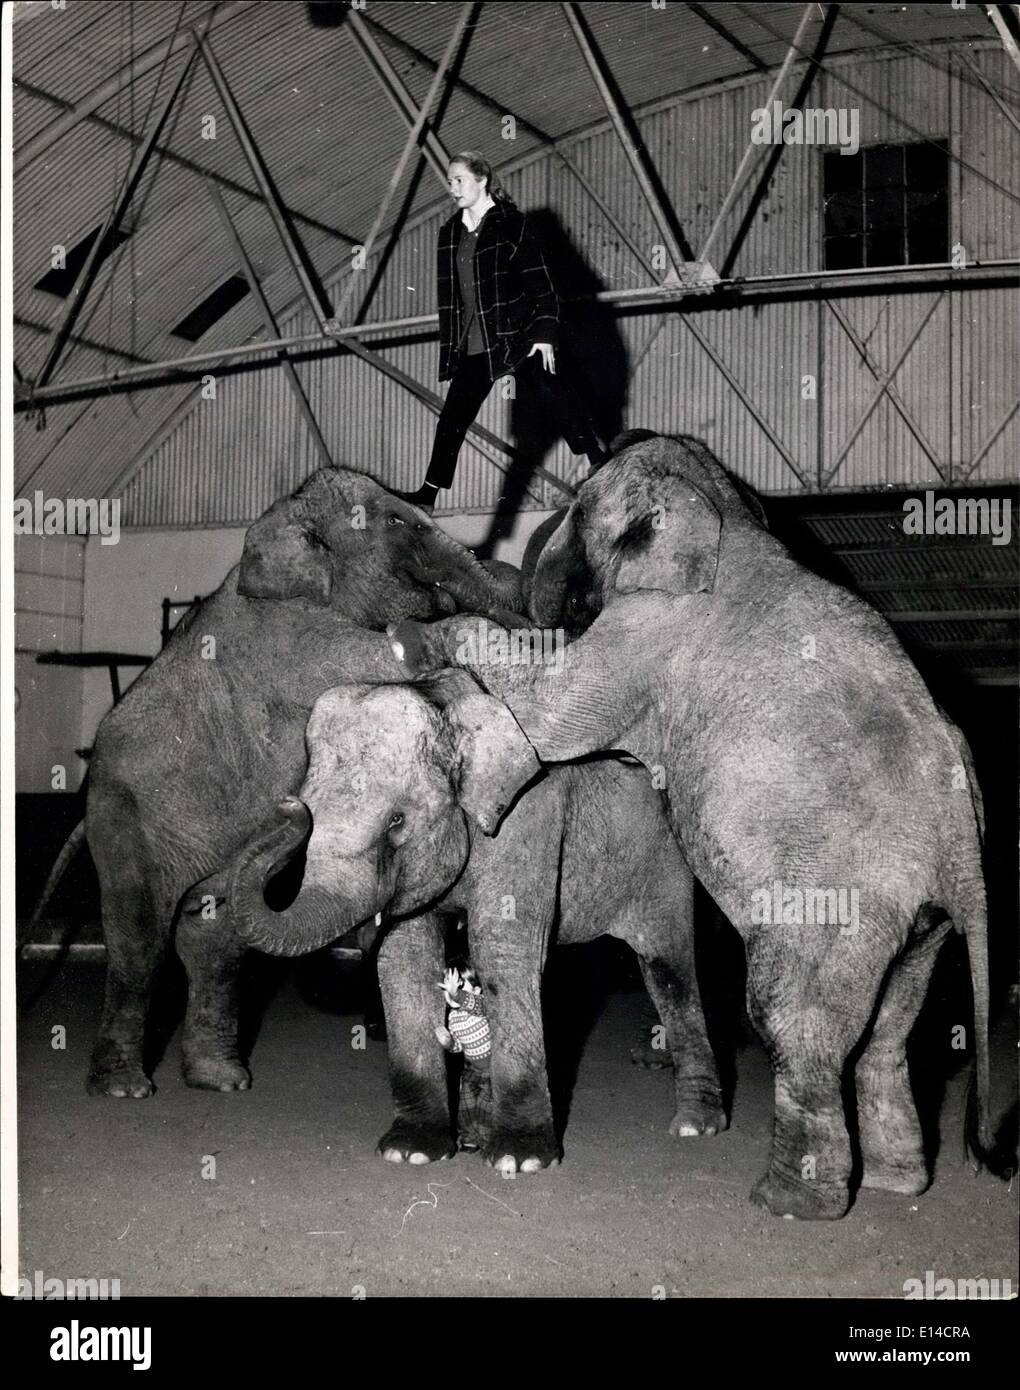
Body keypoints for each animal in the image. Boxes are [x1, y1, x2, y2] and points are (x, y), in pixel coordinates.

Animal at [84, 467, 522, 1095]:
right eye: (397, 521)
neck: (281, 522)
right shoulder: (290, 639)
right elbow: (389, 656)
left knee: (216, 943)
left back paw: (223, 1080)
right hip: (122, 815)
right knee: (139, 941)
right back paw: (125, 1087)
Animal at [225, 672, 728, 1173]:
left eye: (397, 821)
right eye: (307, 809)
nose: (288, 808)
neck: (447, 706)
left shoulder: (527, 818)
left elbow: (500, 951)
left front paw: (520, 1160)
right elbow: (406, 960)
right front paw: (411, 1151)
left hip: (666, 864)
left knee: (669, 968)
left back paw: (696, 1126)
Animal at [391, 430, 1000, 1217]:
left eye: (579, 511)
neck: (724, 515)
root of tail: (961, 842)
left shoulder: (648, 632)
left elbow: (551, 711)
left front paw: (409, 640)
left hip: (838, 898)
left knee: (789, 1013)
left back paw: (786, 1202)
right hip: (918, 917)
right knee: (891, 1025)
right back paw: (895, 1185)